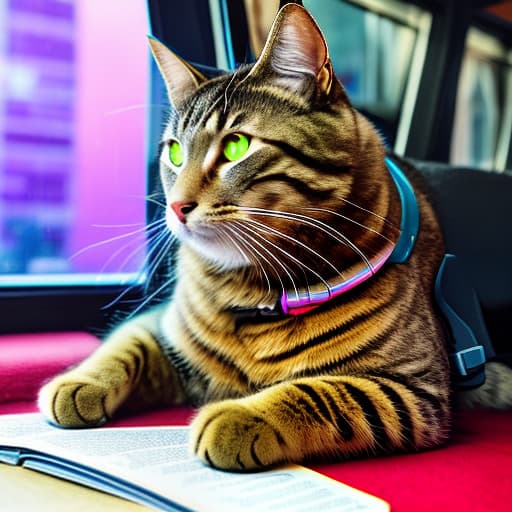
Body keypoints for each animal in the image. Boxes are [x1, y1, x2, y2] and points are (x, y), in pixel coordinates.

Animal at [39, 4, 508, 470]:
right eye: (174, 152)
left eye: (235, 146)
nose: (176, 206)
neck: (250, 294)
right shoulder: (160, 325)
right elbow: (126, 346)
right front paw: (78, 382)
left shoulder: (412, 390)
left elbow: (321, 392)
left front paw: (240, 416)